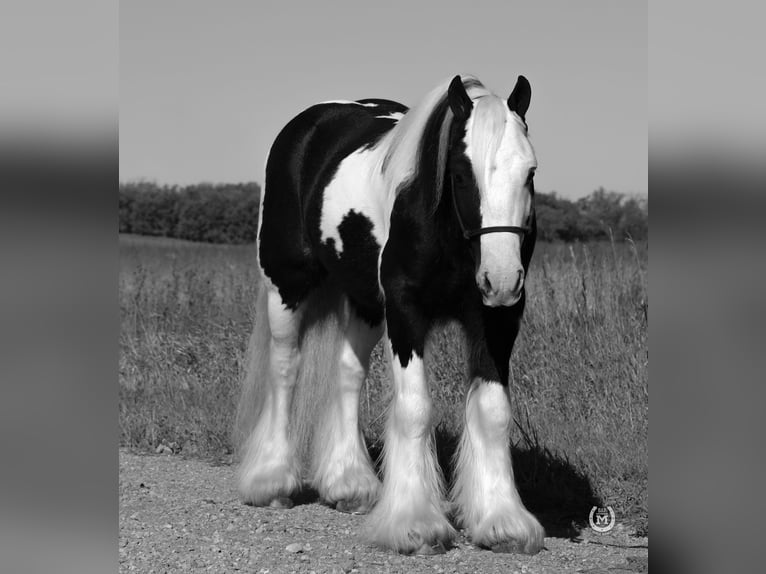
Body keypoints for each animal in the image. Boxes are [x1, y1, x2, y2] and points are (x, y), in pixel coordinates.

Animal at [237, 74, 544, 556]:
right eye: (460, 173)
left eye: (529, 173)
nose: (501, 278)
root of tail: (309, 124)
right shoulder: (405, 313)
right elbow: (415, 408)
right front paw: (415, 525)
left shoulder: (495, 322)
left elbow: (493, 412)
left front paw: (503, 521)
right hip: (285, 287)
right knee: (284, 371)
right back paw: (271, 481)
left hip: (363, 303)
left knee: (347, 375)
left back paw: (349, 485)